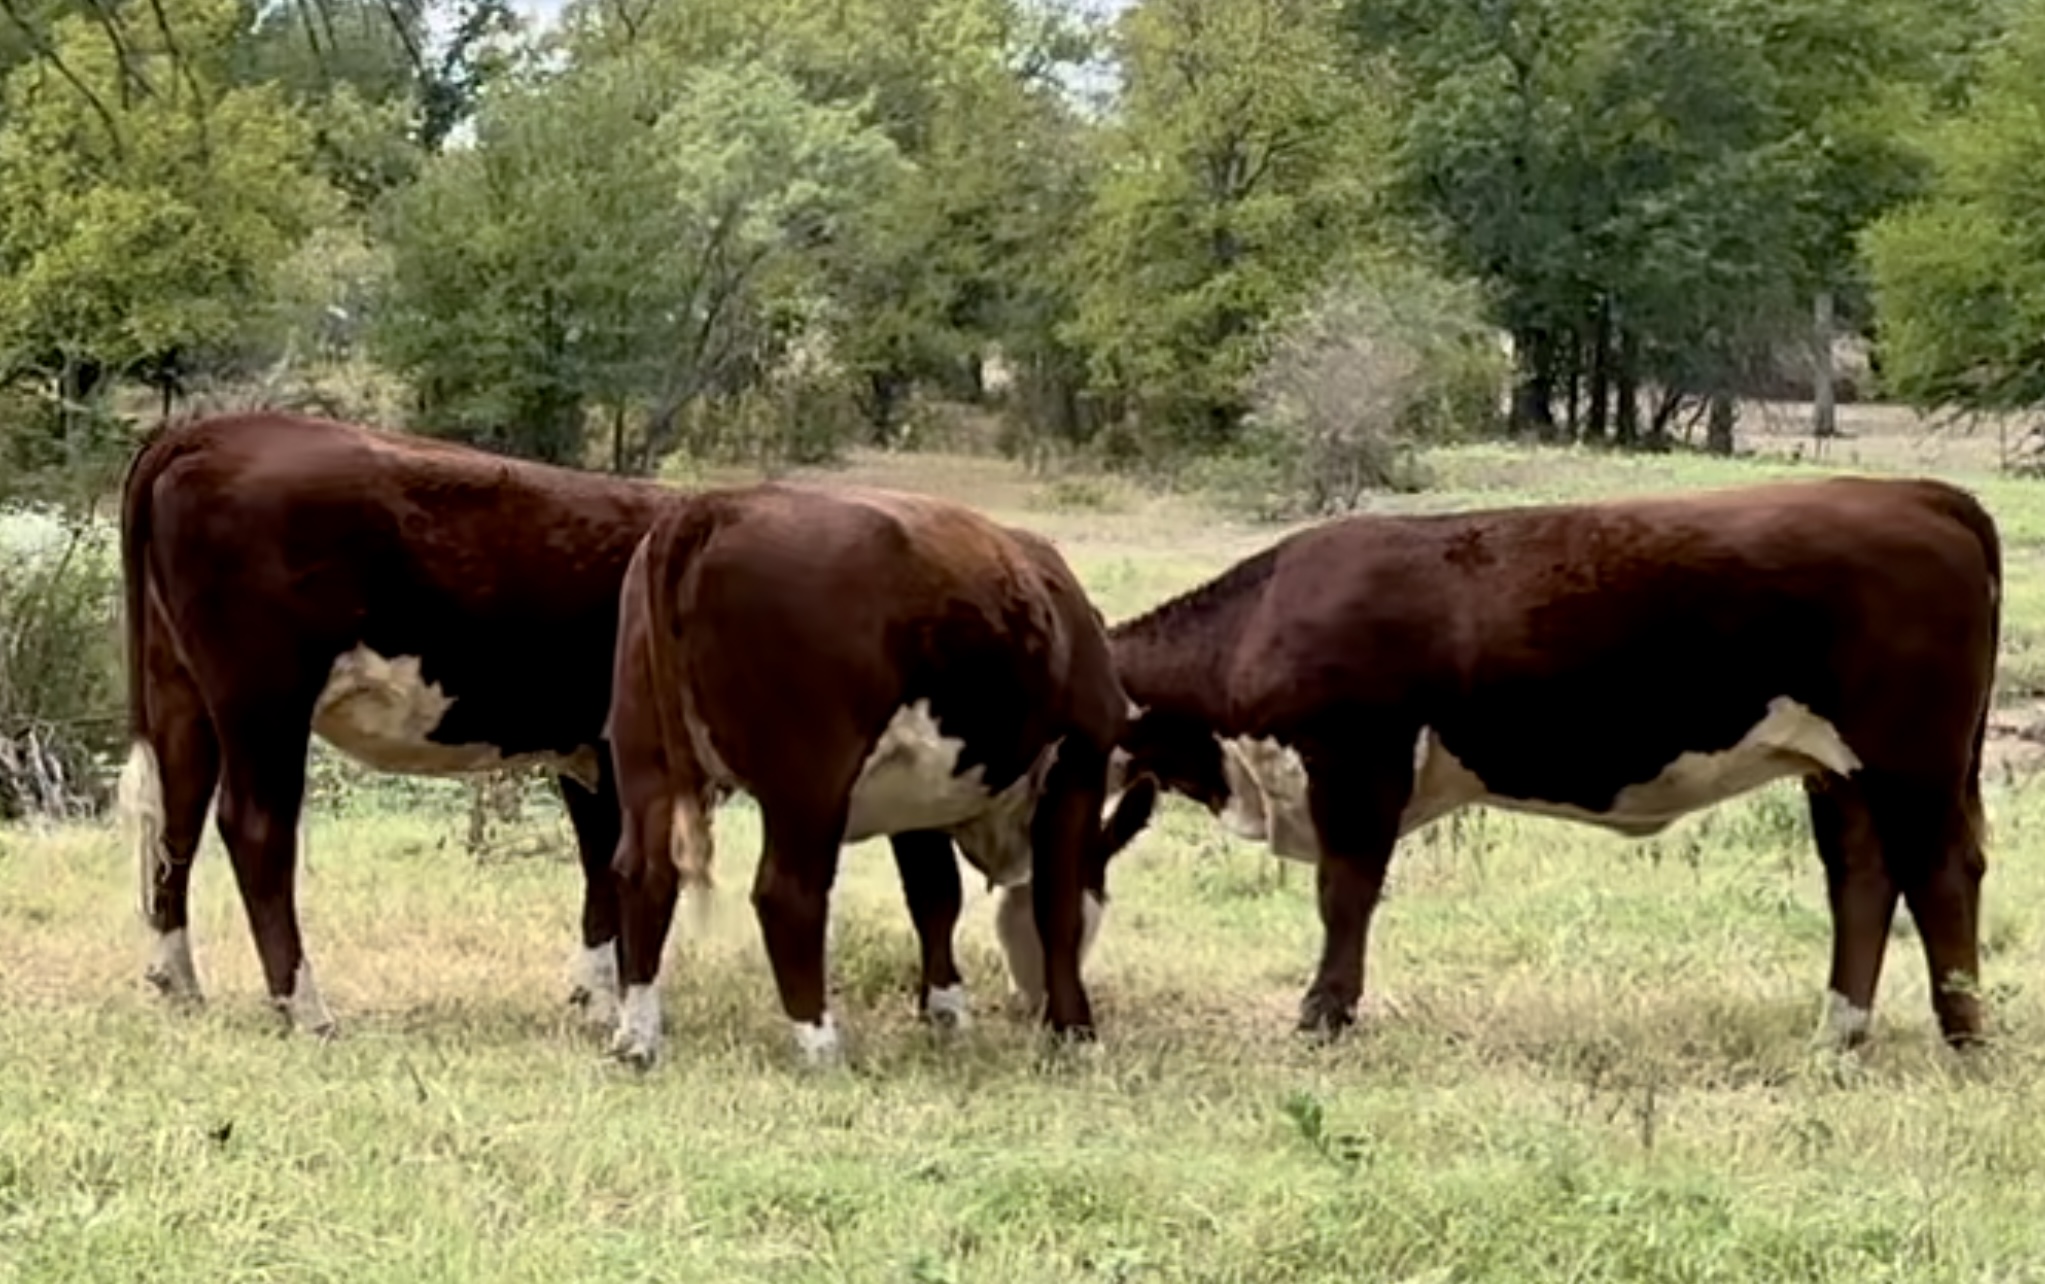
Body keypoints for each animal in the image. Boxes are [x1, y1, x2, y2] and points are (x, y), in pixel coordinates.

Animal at [601, 478, 1153, 1063]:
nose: (1028, 1005)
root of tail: (714, 505)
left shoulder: (920, 798)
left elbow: (936, 897)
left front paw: (946, 1011)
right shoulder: (1080, 760)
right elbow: (1058, 906)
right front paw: (1076, 1032)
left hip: (645, 761)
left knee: (646, 875)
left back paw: (638, 1036)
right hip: (811, 784)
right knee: (786, 895)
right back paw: (820, 1043)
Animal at [1112, 476, 2004, 1046]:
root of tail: (1919, 493)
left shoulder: (1355, 764)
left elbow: (1344, 894)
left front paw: (1323, 1016)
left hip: (1909, 756)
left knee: (1939, 873)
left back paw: (1962, 1033)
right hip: (1839, 769)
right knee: (1862, 877)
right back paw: (1837, 1032)